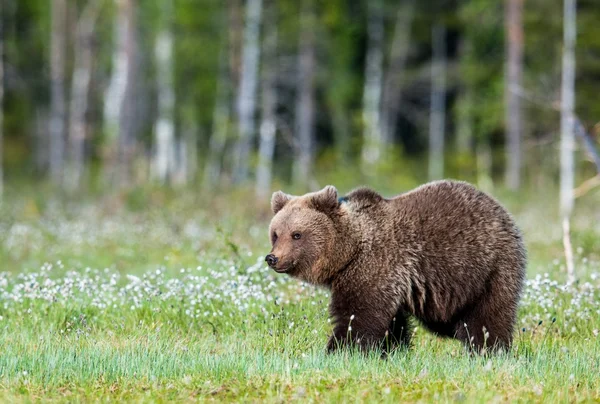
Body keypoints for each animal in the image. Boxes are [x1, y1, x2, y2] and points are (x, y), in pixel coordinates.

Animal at [268, 180, 524, 354]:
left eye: (296, 234)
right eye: (275, 234)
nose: (272, 258)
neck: (350, 251)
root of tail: (501, 210)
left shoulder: (373, 267)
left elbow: (358, 316)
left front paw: (339, 350)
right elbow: (391, 322)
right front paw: (391, 350)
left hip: (489, 268)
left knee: (488, 316)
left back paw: (489, 350)